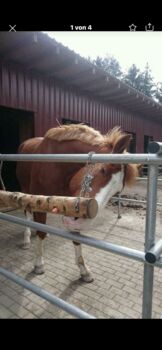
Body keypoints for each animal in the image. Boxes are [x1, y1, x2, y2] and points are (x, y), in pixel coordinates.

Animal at [15, 124, 139, 284]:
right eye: (103, 169)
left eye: (117, 192)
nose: (82, 221)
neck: (57, 164)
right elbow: (40, 231)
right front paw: (38, 264)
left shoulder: (70, 205)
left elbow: (76, 238)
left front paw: (84, 271)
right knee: (27, 213)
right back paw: (26, 238)